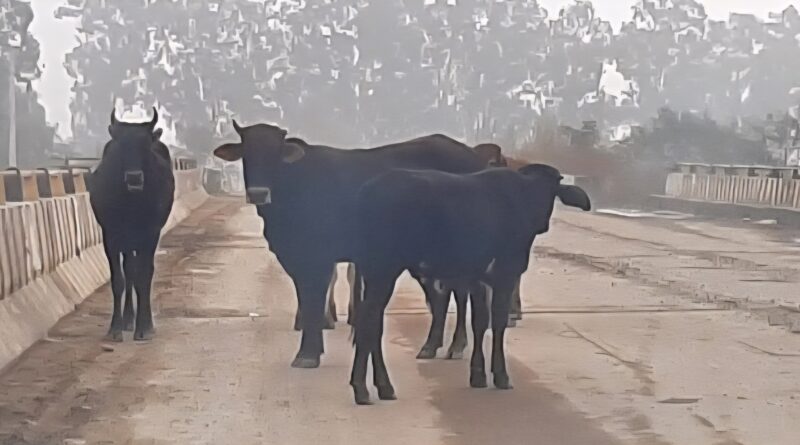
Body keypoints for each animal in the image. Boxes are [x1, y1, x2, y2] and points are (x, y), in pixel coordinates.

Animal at [90, 108, 175, 342]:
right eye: (122, 145)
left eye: (145, 146)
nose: (134, 177)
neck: (132, 203)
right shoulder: (111, 235)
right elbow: (119, 279)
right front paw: (115, 328)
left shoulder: (150, 234)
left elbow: (144, 277)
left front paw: (144, 328)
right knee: (129, 272)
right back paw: (128, 319)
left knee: (141, 274)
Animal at [213, 122, 502, 368]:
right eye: (247, 152)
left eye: (275, 153)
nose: (259, 193)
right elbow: (306, 300)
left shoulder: (317, 258)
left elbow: (313, 302)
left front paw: (308, 354)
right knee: (444, 295)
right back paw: (432, 346)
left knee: (463, 293)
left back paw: (456, 346)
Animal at [349, 164, 591, 405]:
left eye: (551, 190)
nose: (543, 225)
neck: (524, 195)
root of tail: (368, 191)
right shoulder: (505, 274)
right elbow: (498, 323)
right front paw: (501, 376)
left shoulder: (477, 279)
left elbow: (479, 322)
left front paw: (478, 374)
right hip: (383, 270)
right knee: (369, 322)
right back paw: (366, 388)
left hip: (374, 273)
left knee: (373, 323)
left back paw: (378, 387)